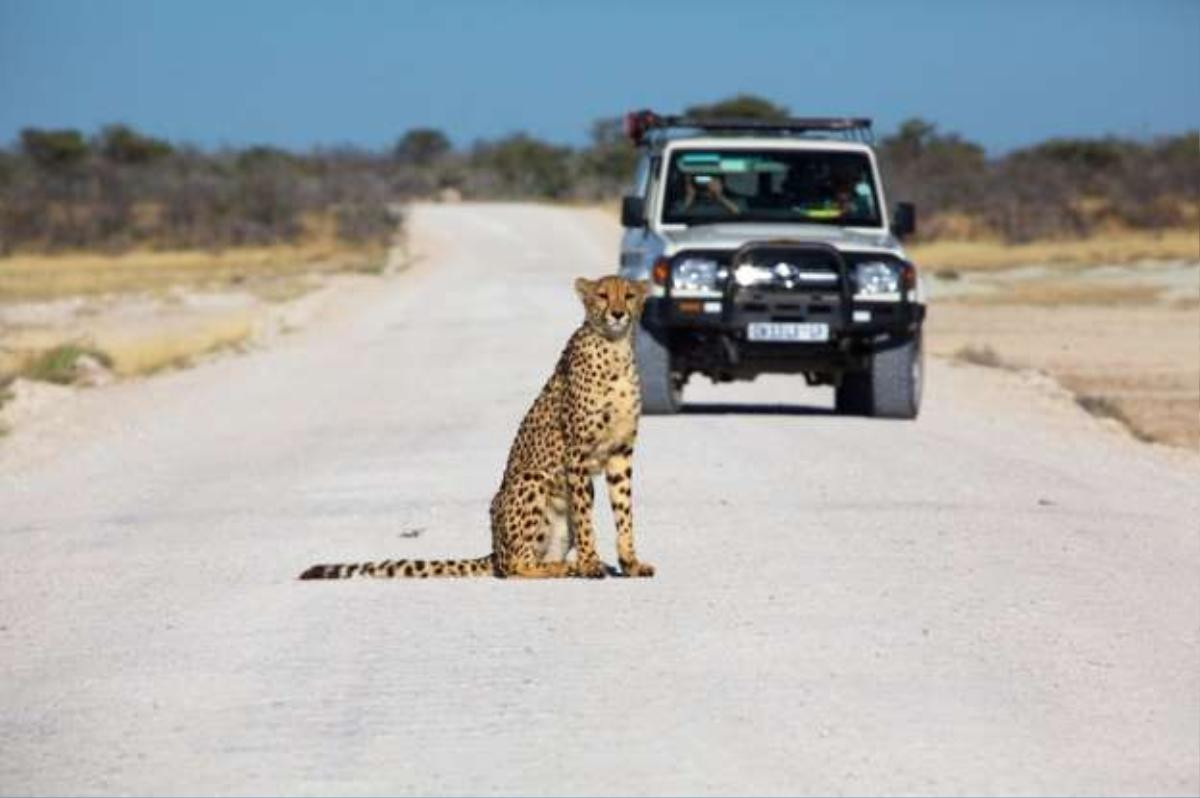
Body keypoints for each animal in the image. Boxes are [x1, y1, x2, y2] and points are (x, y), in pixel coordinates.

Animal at [302, 273, 657, 578]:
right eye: (603, 295)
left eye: (629, 295)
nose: (617, 314)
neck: (615, 348)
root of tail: (494, 549)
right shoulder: (577, 453)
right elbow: (585, 519)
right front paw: (591, 563)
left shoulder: (621, 453)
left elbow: (624, 512)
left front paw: (630, 563)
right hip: (532, 480)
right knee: (516, 566)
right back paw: (563, 568)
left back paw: (563, 565)